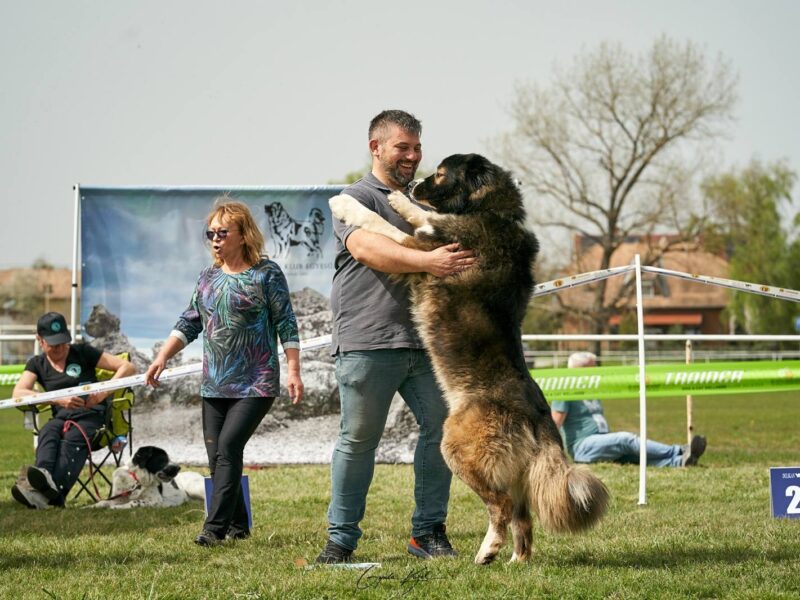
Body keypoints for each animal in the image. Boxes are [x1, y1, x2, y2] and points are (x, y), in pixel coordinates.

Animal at [328, 154, 608, 564]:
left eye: (441, 173)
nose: (411, 185)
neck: (492, 211)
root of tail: (538, 418)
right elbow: (416, 219)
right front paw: (399, 202)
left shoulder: (423, 252)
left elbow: (385, 224)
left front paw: (352, 203)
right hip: (510, 471)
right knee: (523, 520)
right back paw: (515, 561)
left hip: (456, 447)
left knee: (502, 506)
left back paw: (487, 551)